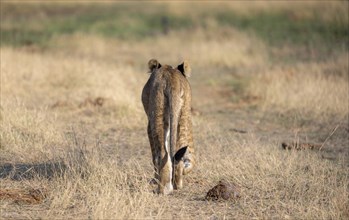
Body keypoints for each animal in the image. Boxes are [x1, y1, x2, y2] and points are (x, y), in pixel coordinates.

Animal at [142, 59, 196, 195]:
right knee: (180, 153)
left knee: (162, 153)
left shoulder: (149, 124)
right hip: (184, 114)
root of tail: (172, 79)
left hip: (158, 113)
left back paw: (163, 189)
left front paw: (155, 179)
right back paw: (177, 184)